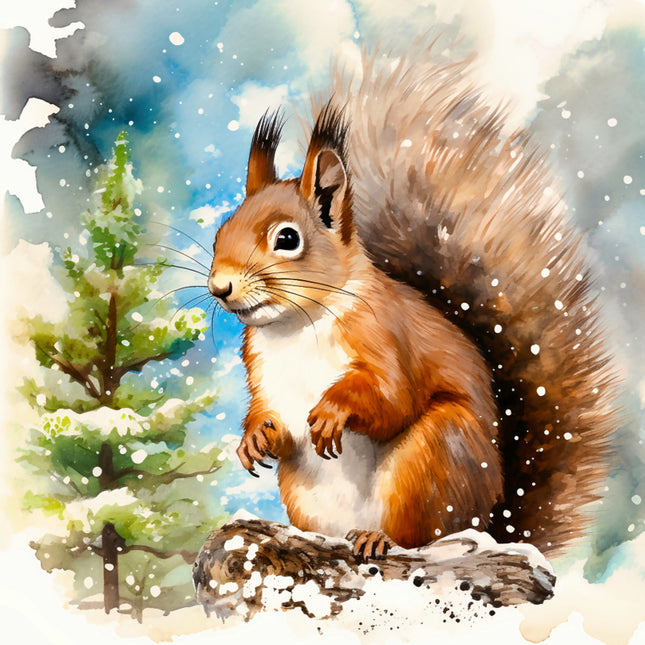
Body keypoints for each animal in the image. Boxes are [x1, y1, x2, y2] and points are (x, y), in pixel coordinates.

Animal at [207, 44, 618, 559]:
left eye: (287, 238)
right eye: (222, 230)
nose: (219, 286)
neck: (296, 326)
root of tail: (491, 522)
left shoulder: (387, 336)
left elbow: (393, 398)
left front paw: (331, 411)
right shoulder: (261, 371)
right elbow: (270, 416)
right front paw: (256, 436)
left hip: (434, 455)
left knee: (418, 535)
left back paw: (375, 537)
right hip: (306, 494)